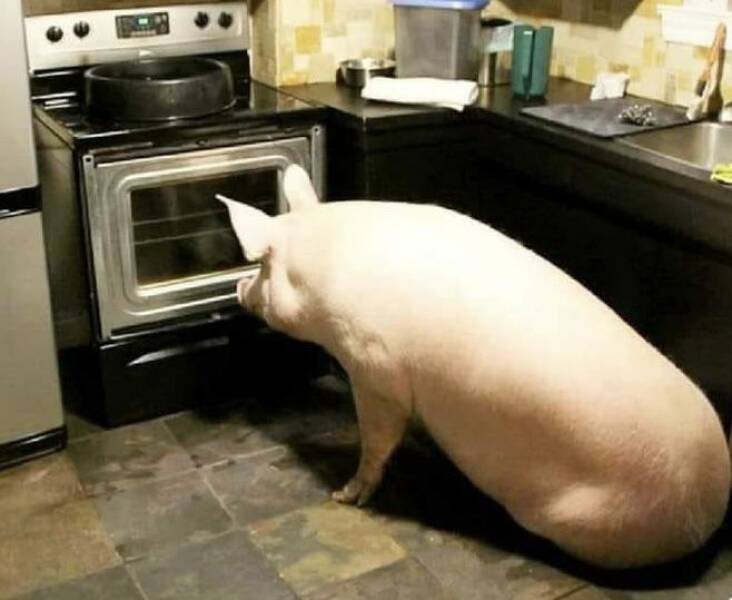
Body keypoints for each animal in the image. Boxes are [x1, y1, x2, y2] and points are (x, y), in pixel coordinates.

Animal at [218, 165, 731, 569]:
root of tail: (708, 509)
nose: (239, 288)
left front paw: (345, 496)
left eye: (261, 267)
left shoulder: (374, 367)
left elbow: (378, 437)